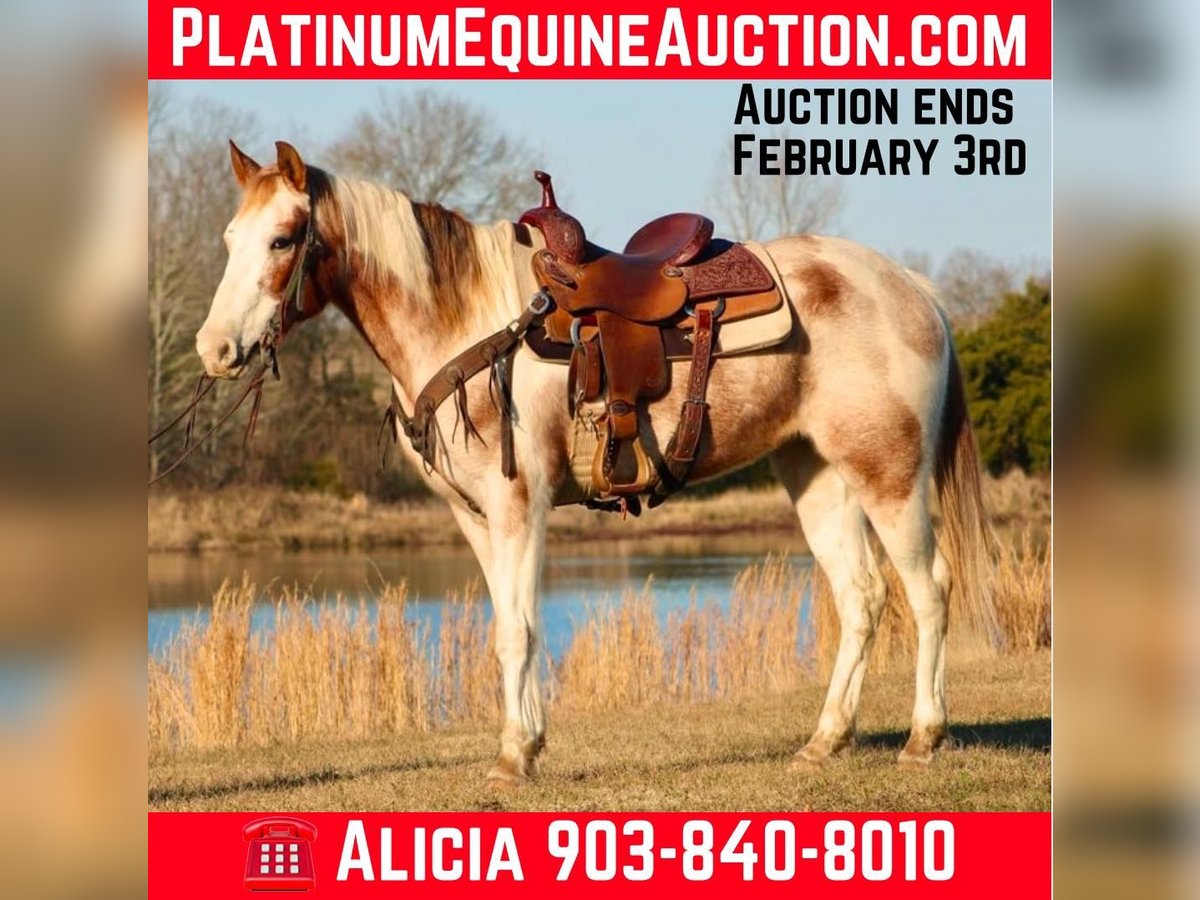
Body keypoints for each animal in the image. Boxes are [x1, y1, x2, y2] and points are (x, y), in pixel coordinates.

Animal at [195, 140, 996, 786]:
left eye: (283, 239)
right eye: (230, 237)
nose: (214, 349)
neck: (466, 322)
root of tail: (911, 288)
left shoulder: (519, 507)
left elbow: (517, 630)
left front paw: (513, 758)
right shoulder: (474, 518)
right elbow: (507, 626)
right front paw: (526, 745)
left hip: (889, 474)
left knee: (929, 589)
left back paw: (924, 738)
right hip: (816, 474)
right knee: (861, 597)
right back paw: (825, 742)